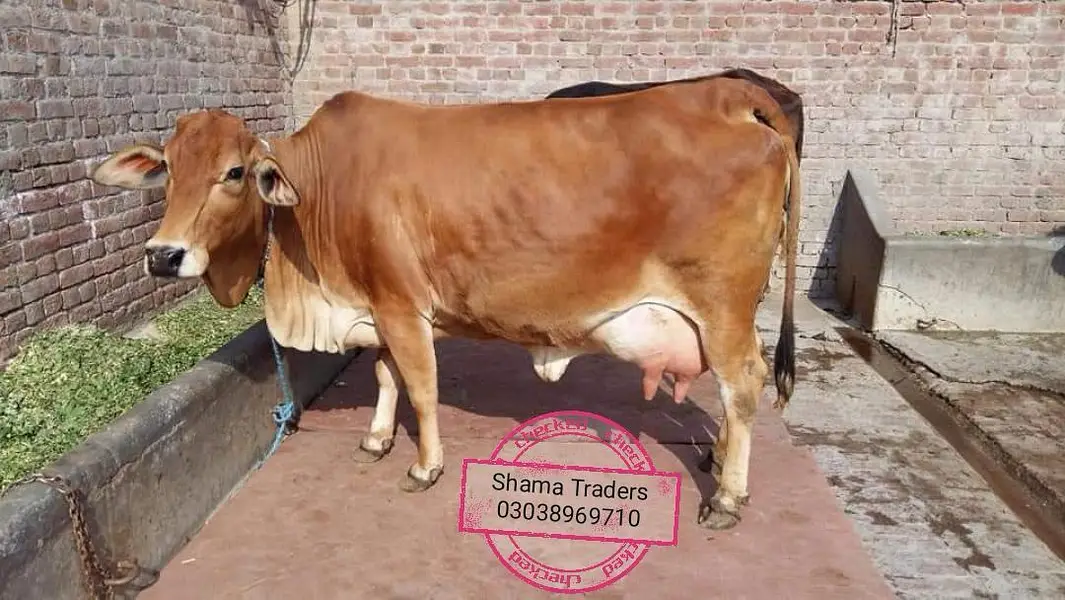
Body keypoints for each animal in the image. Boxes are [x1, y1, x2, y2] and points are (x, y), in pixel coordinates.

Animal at [90, 76, 801, 530]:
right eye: (168, 170)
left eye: (233, 173)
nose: (163, 255)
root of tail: (731, 94)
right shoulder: (375, 305)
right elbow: (384, 376)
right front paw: (377, 439)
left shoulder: (403, 306)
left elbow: (422, 386)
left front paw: (425, 465)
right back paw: (715, 461)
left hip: (723, 306)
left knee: (743, 386)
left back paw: (727, 499)